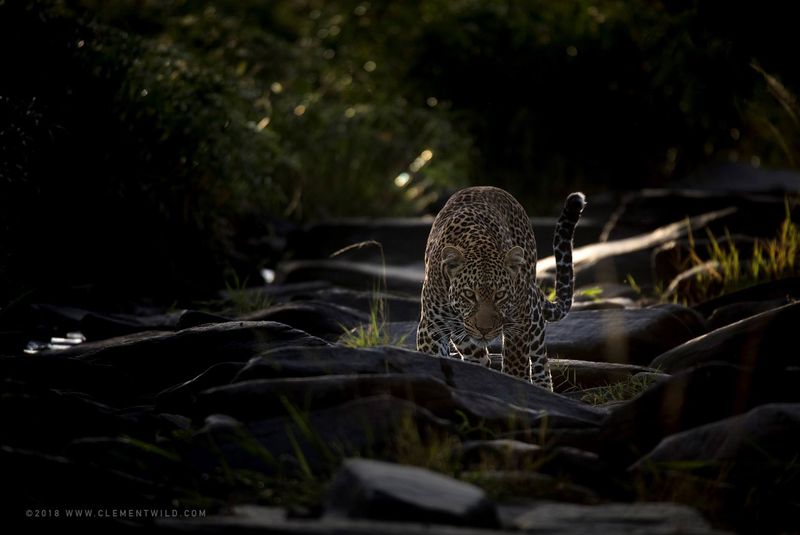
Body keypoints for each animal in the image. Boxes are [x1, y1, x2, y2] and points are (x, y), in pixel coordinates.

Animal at [416, 186, 586, 391]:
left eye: (500, 295)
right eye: (469, 294)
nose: (484, 330)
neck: (478, 245)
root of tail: (486, 187)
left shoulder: (519, 320)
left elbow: (516, 365)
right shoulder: (432, 327)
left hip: (531, 307)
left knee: (539, 356)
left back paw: (544, 388)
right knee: (480, 359)